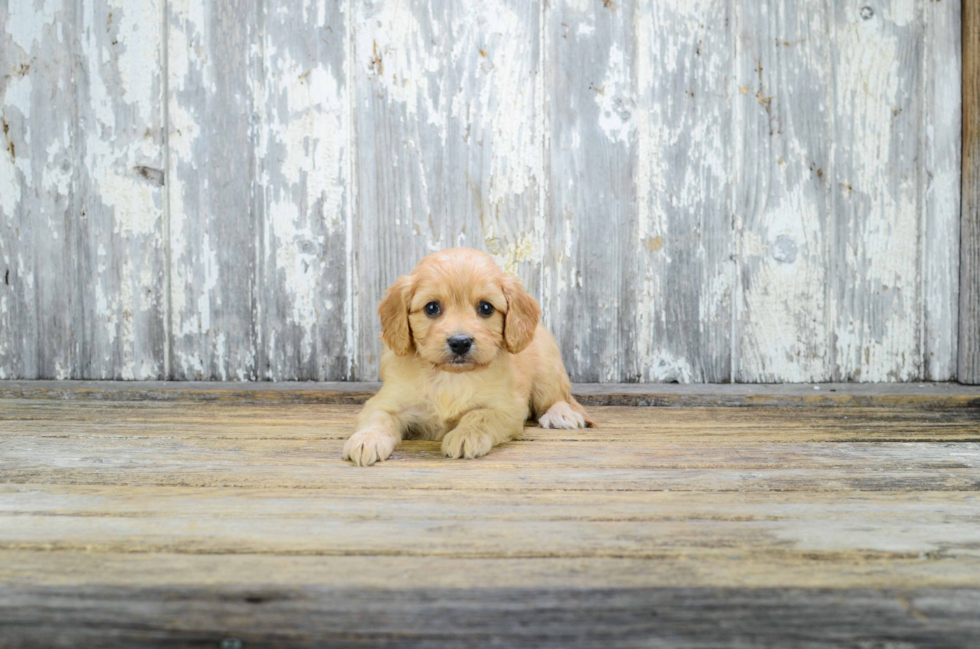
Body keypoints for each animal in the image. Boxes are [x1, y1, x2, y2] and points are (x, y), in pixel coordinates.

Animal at [340, 246, 592, 464]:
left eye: (486, 308)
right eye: (432, 307)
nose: (460, 343)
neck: (450, 377)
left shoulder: (508, 408)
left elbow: (480, 415)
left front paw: (465, 435)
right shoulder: (386, 401)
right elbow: (377, 418)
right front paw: (366, 440)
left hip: (547, 369)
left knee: (556, 397)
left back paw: (561, 414)